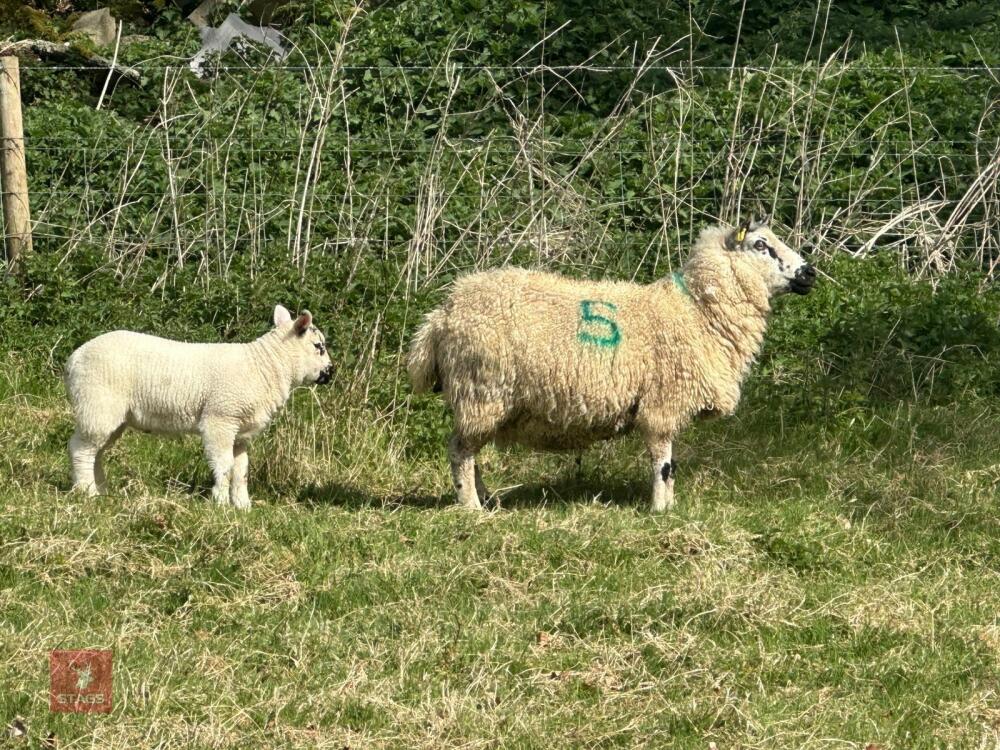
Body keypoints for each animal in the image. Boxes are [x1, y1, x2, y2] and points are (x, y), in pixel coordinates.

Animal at [65, 305, 333, 508]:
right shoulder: (221, 419)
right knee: (81, 449)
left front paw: (243, 505)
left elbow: (241, 470)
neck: (265, 366)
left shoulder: (241, 431)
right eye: (318, 346)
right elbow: (224, 465)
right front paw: (221, 503)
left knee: (97, 452)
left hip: (111, 415)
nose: (331, 373)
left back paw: (101, 490)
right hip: (97, 405)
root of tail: (74, 359)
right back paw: (87, 493)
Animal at [408, 217, 816, 512]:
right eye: (761, 245)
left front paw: (670, 506)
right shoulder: (663, 403)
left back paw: (487, 499)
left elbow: (670, 463)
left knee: (469, 450)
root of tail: (441, 316)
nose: (809, 273)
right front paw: (661, 510)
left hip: (481, 397)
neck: (696, 311)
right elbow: (663, 463)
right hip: (481, 389)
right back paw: (472, 508)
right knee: (460, 450)